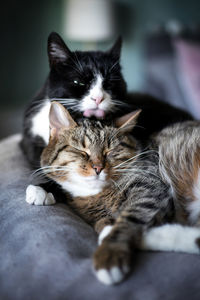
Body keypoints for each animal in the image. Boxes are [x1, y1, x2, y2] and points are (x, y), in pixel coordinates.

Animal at [34, 103, 200, 286]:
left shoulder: (150, 188)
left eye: (110, 151)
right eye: (82, 151)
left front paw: (110, 252)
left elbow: (128, 220)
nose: (98, 168)